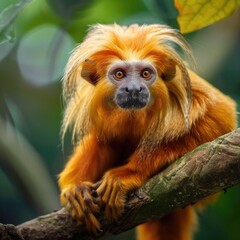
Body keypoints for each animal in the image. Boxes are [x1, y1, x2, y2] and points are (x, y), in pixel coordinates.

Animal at [57, 23, 236, 240]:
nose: (134, 89)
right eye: (119, 74)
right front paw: (75, 186)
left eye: (145, 74)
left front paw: (127, 174)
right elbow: (105, 140)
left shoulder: (191, 92)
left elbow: (219, 118)